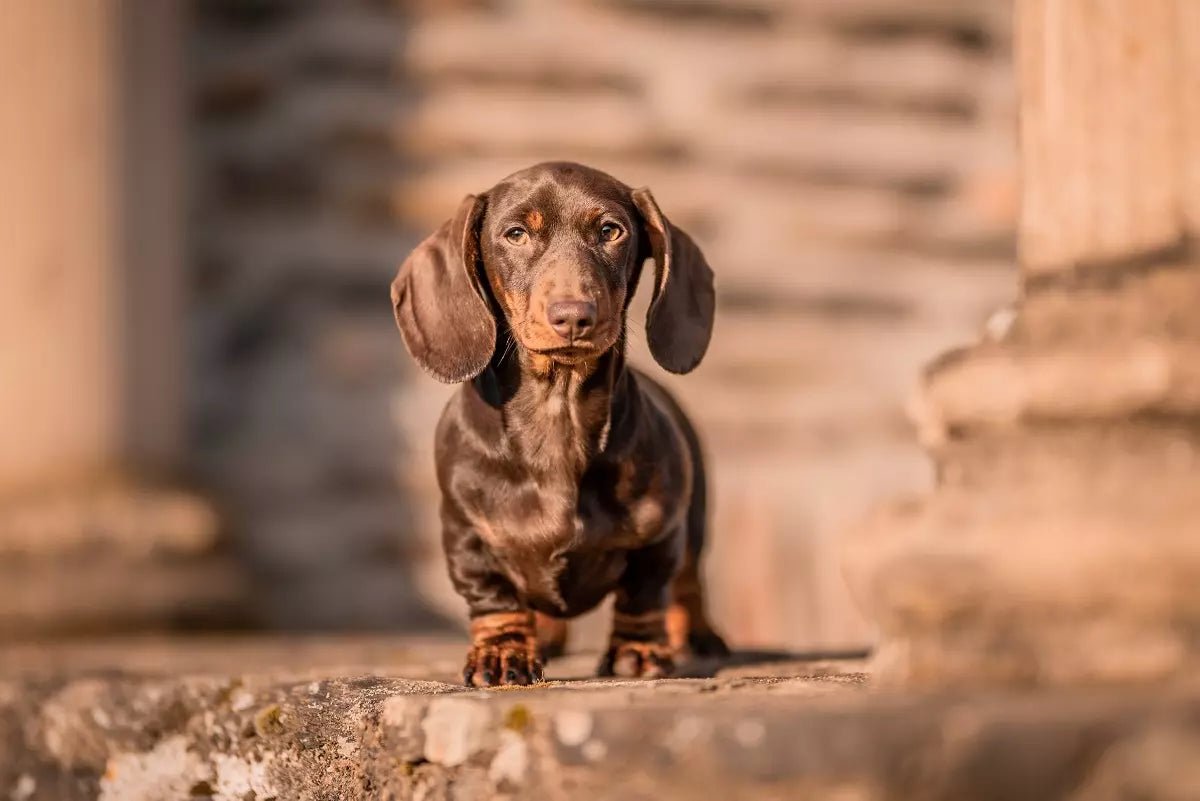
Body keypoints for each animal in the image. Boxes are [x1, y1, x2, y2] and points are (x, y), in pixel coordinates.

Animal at [393, 159, 729, 685]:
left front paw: (639, 651)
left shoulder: (659, 535)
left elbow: (645, 594)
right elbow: (494, 600)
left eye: (611, 230)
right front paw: (503, 654)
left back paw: (696, 636)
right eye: (515, 234)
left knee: (689, 581)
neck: (557, 412)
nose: (573, 316)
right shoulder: (467, 536)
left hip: (693, 521)